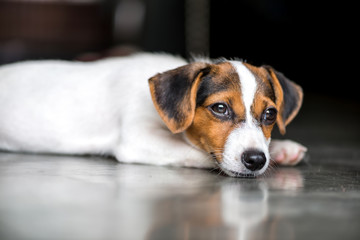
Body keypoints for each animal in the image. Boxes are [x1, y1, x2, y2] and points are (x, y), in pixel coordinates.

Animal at [0, 53, 306, 177]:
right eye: (220, 108)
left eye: (270, 114)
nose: (256, 160)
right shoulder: (138, 138)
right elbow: (198, 153)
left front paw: (281, 149)